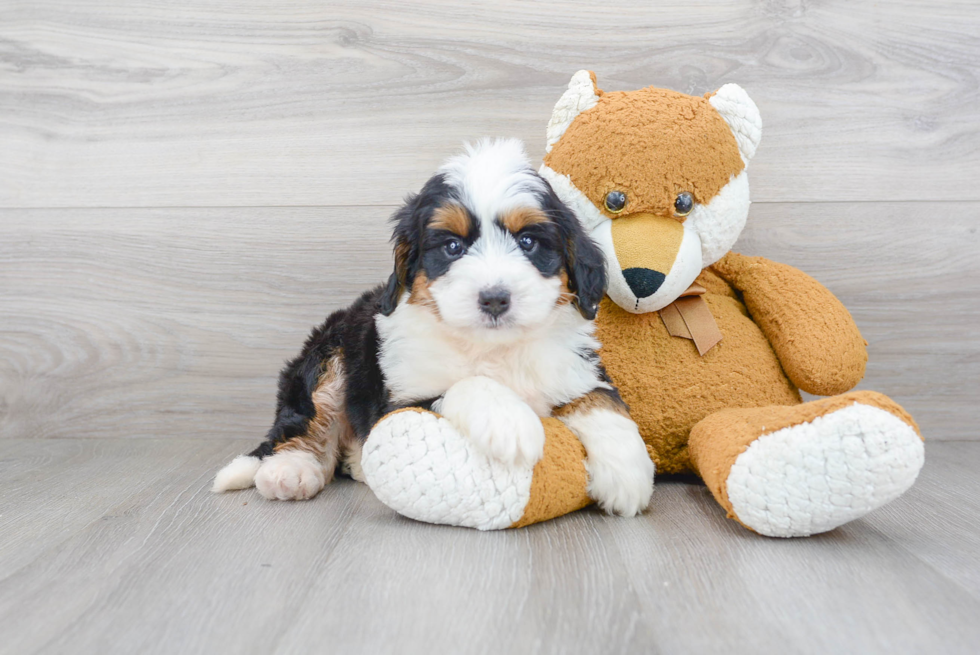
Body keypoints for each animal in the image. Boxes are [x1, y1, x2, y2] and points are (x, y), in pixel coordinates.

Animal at [215, 138, 660, 516]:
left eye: (528, 242)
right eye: (452, 247)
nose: (494, 298)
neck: (494, 348)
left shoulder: (577, 367)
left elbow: (602, 400)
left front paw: (627, 472)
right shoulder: (402, 398)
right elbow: (466, 384)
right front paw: (511, 424)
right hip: (331, 352)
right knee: (306, 417)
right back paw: (290, 470)